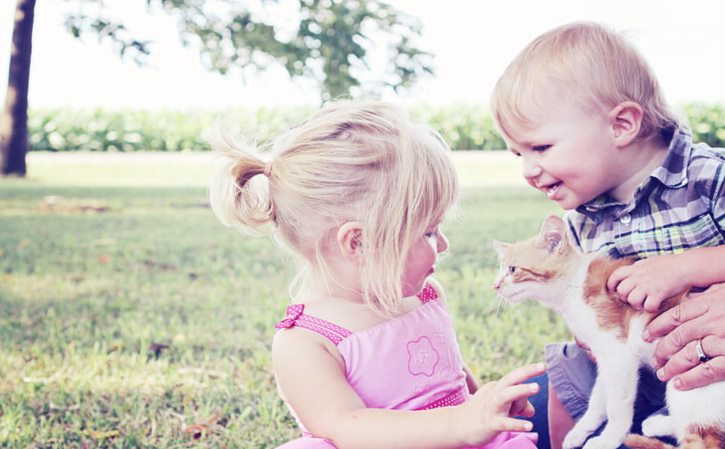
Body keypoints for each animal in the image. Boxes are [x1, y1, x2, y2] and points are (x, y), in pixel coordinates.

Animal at [492, 214, 724, 448]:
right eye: (501, 270)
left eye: (512, 269)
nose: (495, 286)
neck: (573, 286)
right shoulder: (604, 355)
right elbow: (598, 397)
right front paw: (580, 431)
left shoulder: (618, 354)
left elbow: (617, 404)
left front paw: (610, 438)